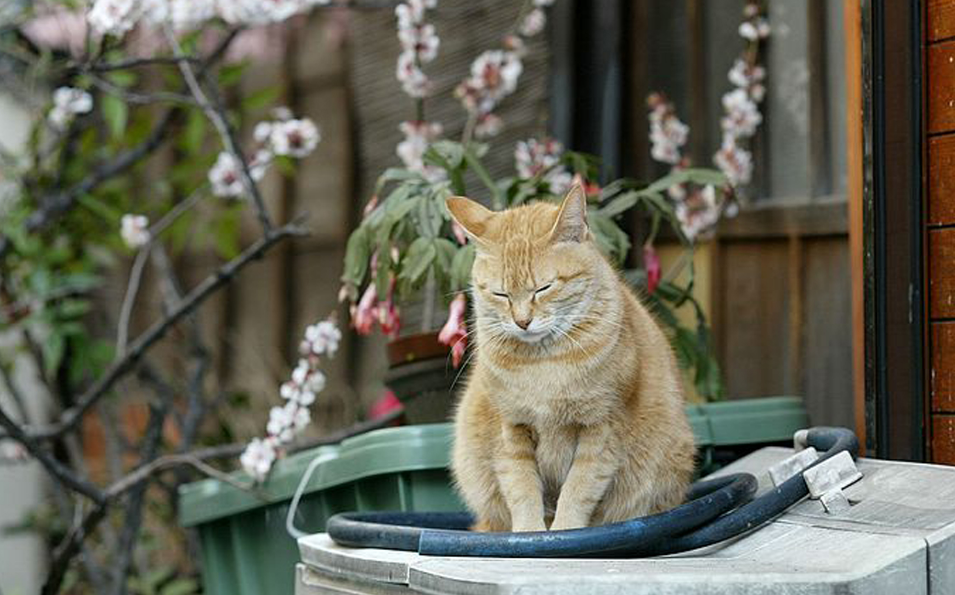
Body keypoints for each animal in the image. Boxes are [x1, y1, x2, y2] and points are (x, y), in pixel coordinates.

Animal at [444, 185, 700, 532]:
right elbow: (521, 489)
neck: (542, 364)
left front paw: (564, 531)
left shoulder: (601, 430)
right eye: (501, 294)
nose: (522, 321)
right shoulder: (512, 430)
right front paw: (529, 534)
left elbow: (579, 490)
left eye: (543, 288)